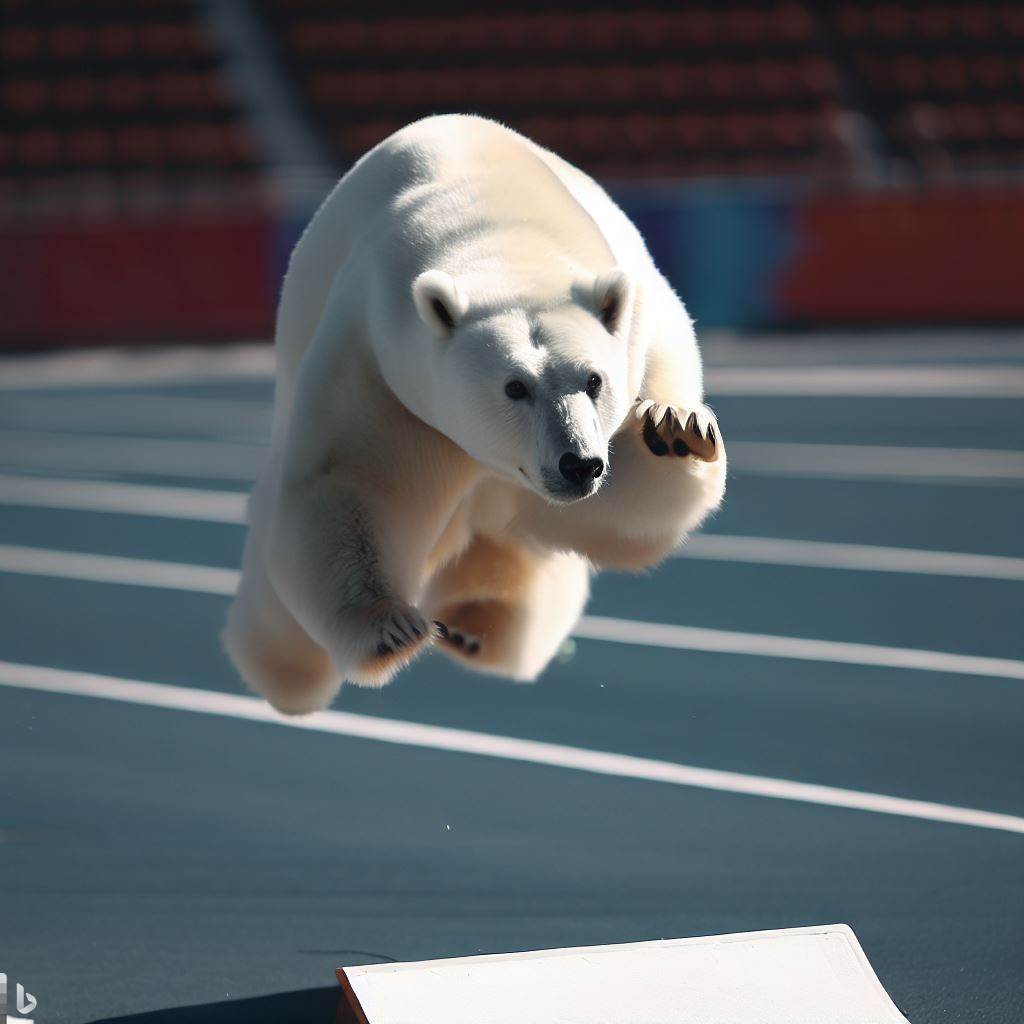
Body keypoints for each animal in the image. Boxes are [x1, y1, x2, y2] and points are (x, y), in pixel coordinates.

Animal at [222, 114, 726, 715]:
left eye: (593, 380)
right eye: (515, 387)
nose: (578, 464)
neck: (497, 220)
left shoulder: (638, 322)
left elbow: (622, 515)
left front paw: (672, 431)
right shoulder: (382, 363)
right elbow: (350, 481)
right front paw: (392, 628)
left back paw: (476, 625)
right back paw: (285, 672)